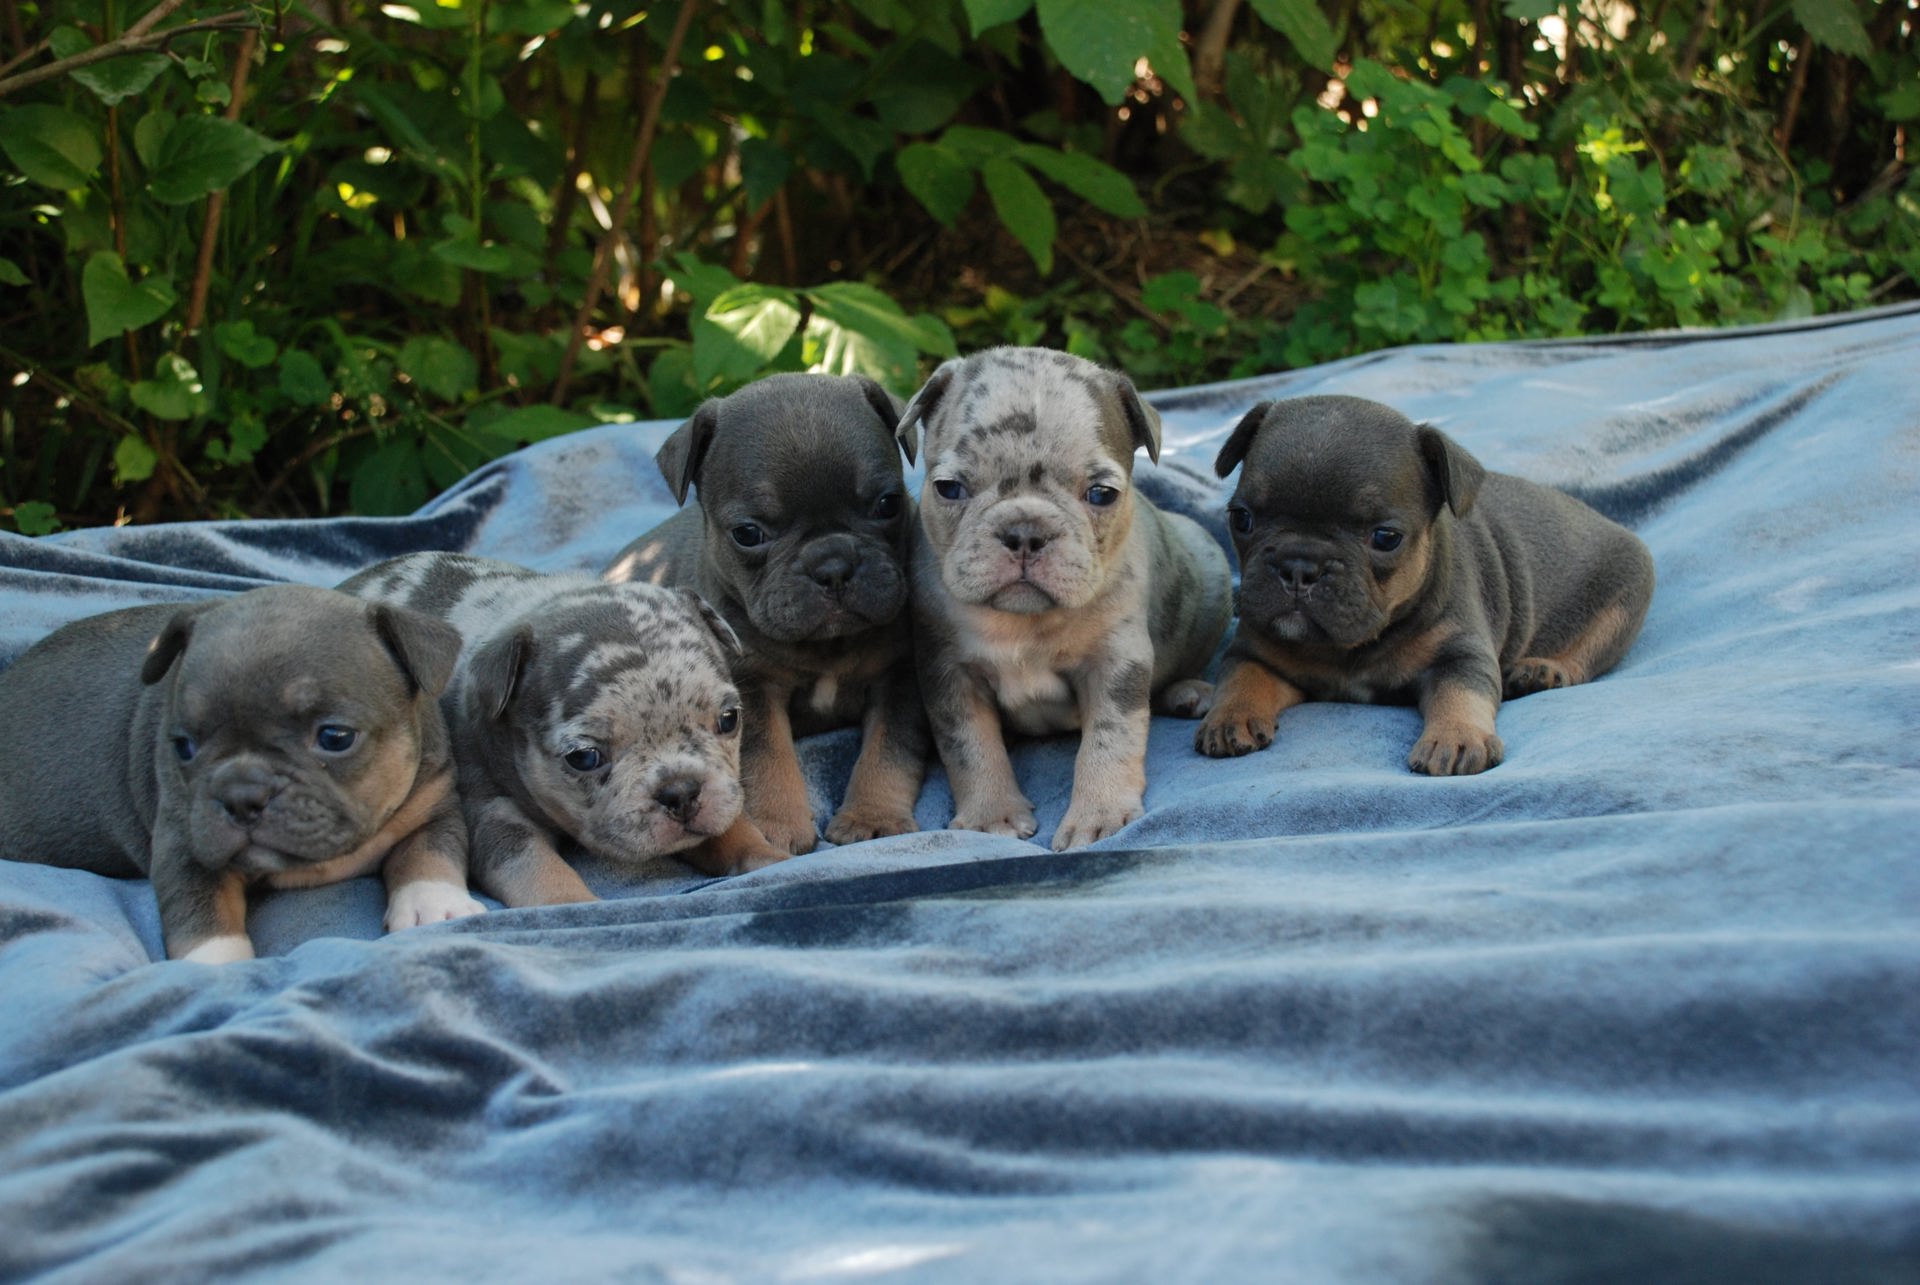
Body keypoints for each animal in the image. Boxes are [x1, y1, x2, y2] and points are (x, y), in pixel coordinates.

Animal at [0, 587, 472, 956]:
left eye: (335, 737)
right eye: (183, 746)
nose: (242, 795)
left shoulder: (435, 805)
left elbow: (428, 852)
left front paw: (433, 904)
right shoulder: (184, 841)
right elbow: (203, 914)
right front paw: (217, 969)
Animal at [339, 553, 779, 902]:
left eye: (729, 719)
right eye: (584, 757)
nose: (681, 792)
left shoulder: (719, 787)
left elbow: (732, 826)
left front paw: (771, 858)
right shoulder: (492, 812)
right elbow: (536, 869)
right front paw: (571, 903)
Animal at [602, 370, 925, 852]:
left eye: (888, 504)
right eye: (748, 534)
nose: (832, 565)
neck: (827, 646)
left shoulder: (899, 675)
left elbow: (889, 750)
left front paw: (873, 816)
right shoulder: (749, 687)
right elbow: (766, 758)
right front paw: (776, 826)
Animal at [1190, 393, 1658, 772]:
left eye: (1385, 537)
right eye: (1241, 518)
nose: (1299, 566)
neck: (1354, 646)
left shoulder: (1461, 655)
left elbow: (1461, 694)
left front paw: (1456, 737)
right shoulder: (1259, 650)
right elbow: (1243, 677)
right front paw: (1229, 717)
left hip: (1623, 594)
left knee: (1589, 655)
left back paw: (1543, 670)